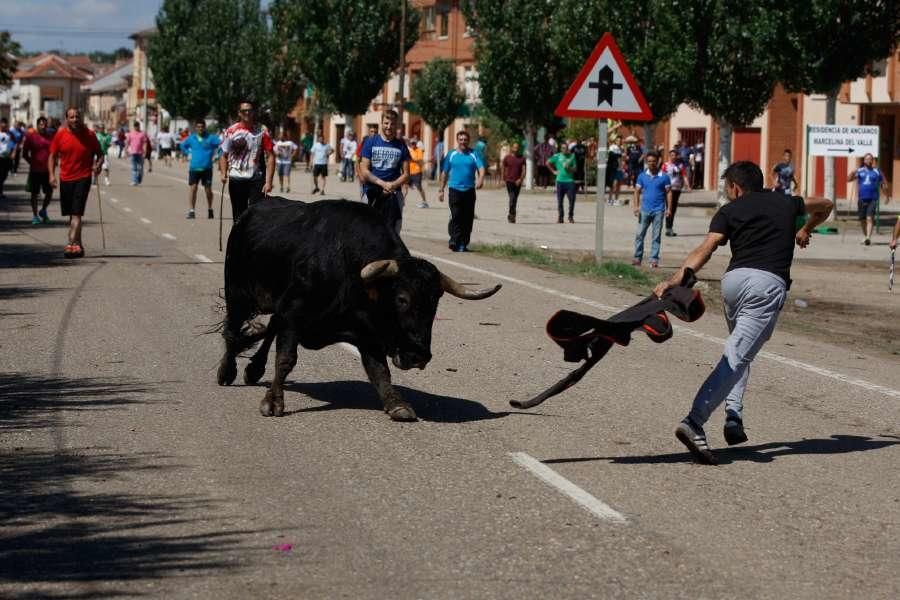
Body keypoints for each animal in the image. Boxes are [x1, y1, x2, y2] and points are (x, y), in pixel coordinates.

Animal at [215, 198, 502, 422]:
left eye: (436, 300)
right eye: (402, 299)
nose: (419, 355)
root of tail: (248, 213)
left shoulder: (367, 334)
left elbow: (379, 371)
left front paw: (397, 404)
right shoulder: (293, 314)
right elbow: (286, 359)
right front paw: (273, 402)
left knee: (268, 326)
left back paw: (254, 369)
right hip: (237, 292)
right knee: (232, 329)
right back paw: (227, 371)